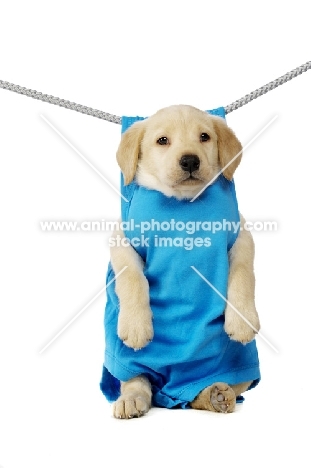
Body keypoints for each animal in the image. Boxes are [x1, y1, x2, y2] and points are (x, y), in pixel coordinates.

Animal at [101, 105, 262, 416]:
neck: (182, 203)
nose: (189, 160)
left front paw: (242, 320)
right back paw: (132, 399)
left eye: (204, 137)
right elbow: (132, 280)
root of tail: (170, 391)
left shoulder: (241, 237)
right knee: (138, 381)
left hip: (240, 368)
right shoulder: (122, 240)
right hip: (127, 362)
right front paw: (136, 326)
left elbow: (243, 275)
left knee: (215, 390)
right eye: (162, 141)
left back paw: (215, 394)